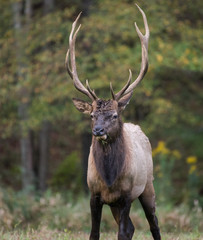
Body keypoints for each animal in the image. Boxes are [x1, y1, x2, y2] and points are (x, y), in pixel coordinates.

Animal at [65, 4, 162, 240]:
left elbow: (122, 232)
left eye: (115, 115)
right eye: (92, 115)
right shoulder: (93, 194)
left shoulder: (126, 195)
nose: (98, 131)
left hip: (148, 185)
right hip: (116, 203)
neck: (109, 179)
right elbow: (94, 233)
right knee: (134, 227)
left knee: (153, 222)